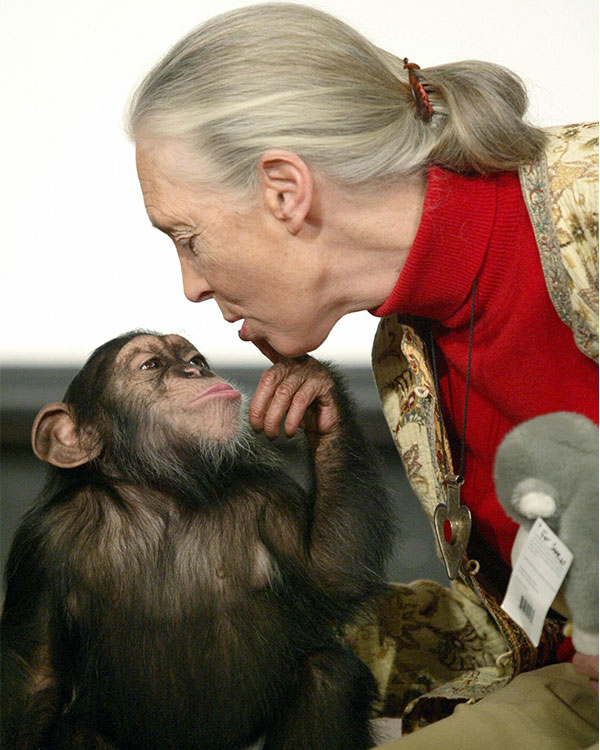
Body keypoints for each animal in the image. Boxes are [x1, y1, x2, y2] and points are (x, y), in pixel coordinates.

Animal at [1, 332, 394, 748]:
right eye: (151, 365)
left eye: (195, 359)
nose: (195, 371)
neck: (162, 495)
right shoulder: (42, 542)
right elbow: (36, 677)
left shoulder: (267, 494)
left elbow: (332, 566)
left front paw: (309, 385)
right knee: (78, 732)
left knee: (329, 675)